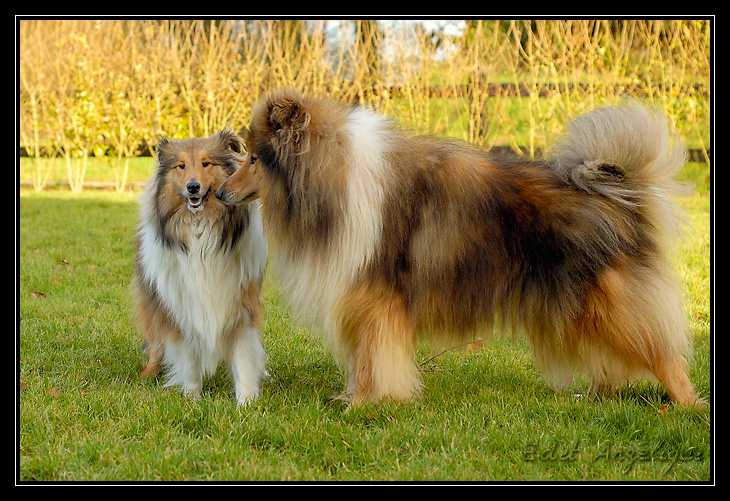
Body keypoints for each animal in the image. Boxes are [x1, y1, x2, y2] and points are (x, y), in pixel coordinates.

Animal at [132, 128, 268, 402]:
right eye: (181, 166)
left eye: (207, 163)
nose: (192, 187)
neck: (200, 234)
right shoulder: (182, 304)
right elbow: (189, 355)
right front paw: (192, 397)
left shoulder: (241, 304)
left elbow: (244, 356)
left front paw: (246, 402)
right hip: (153, 299)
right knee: (155, 341)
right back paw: (148, 374)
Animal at [215, 90, 700, 408]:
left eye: (255, 158)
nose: (219, 193)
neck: (328, 180)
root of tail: (622, 195)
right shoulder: (358, 297)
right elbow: (360, 358)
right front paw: (350, 397)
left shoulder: (376, 298)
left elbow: (372, 357)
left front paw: (365, 404)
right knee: (612, 360)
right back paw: (592, 395)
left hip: (608, 302)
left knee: (662, 351)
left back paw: (687, 406)